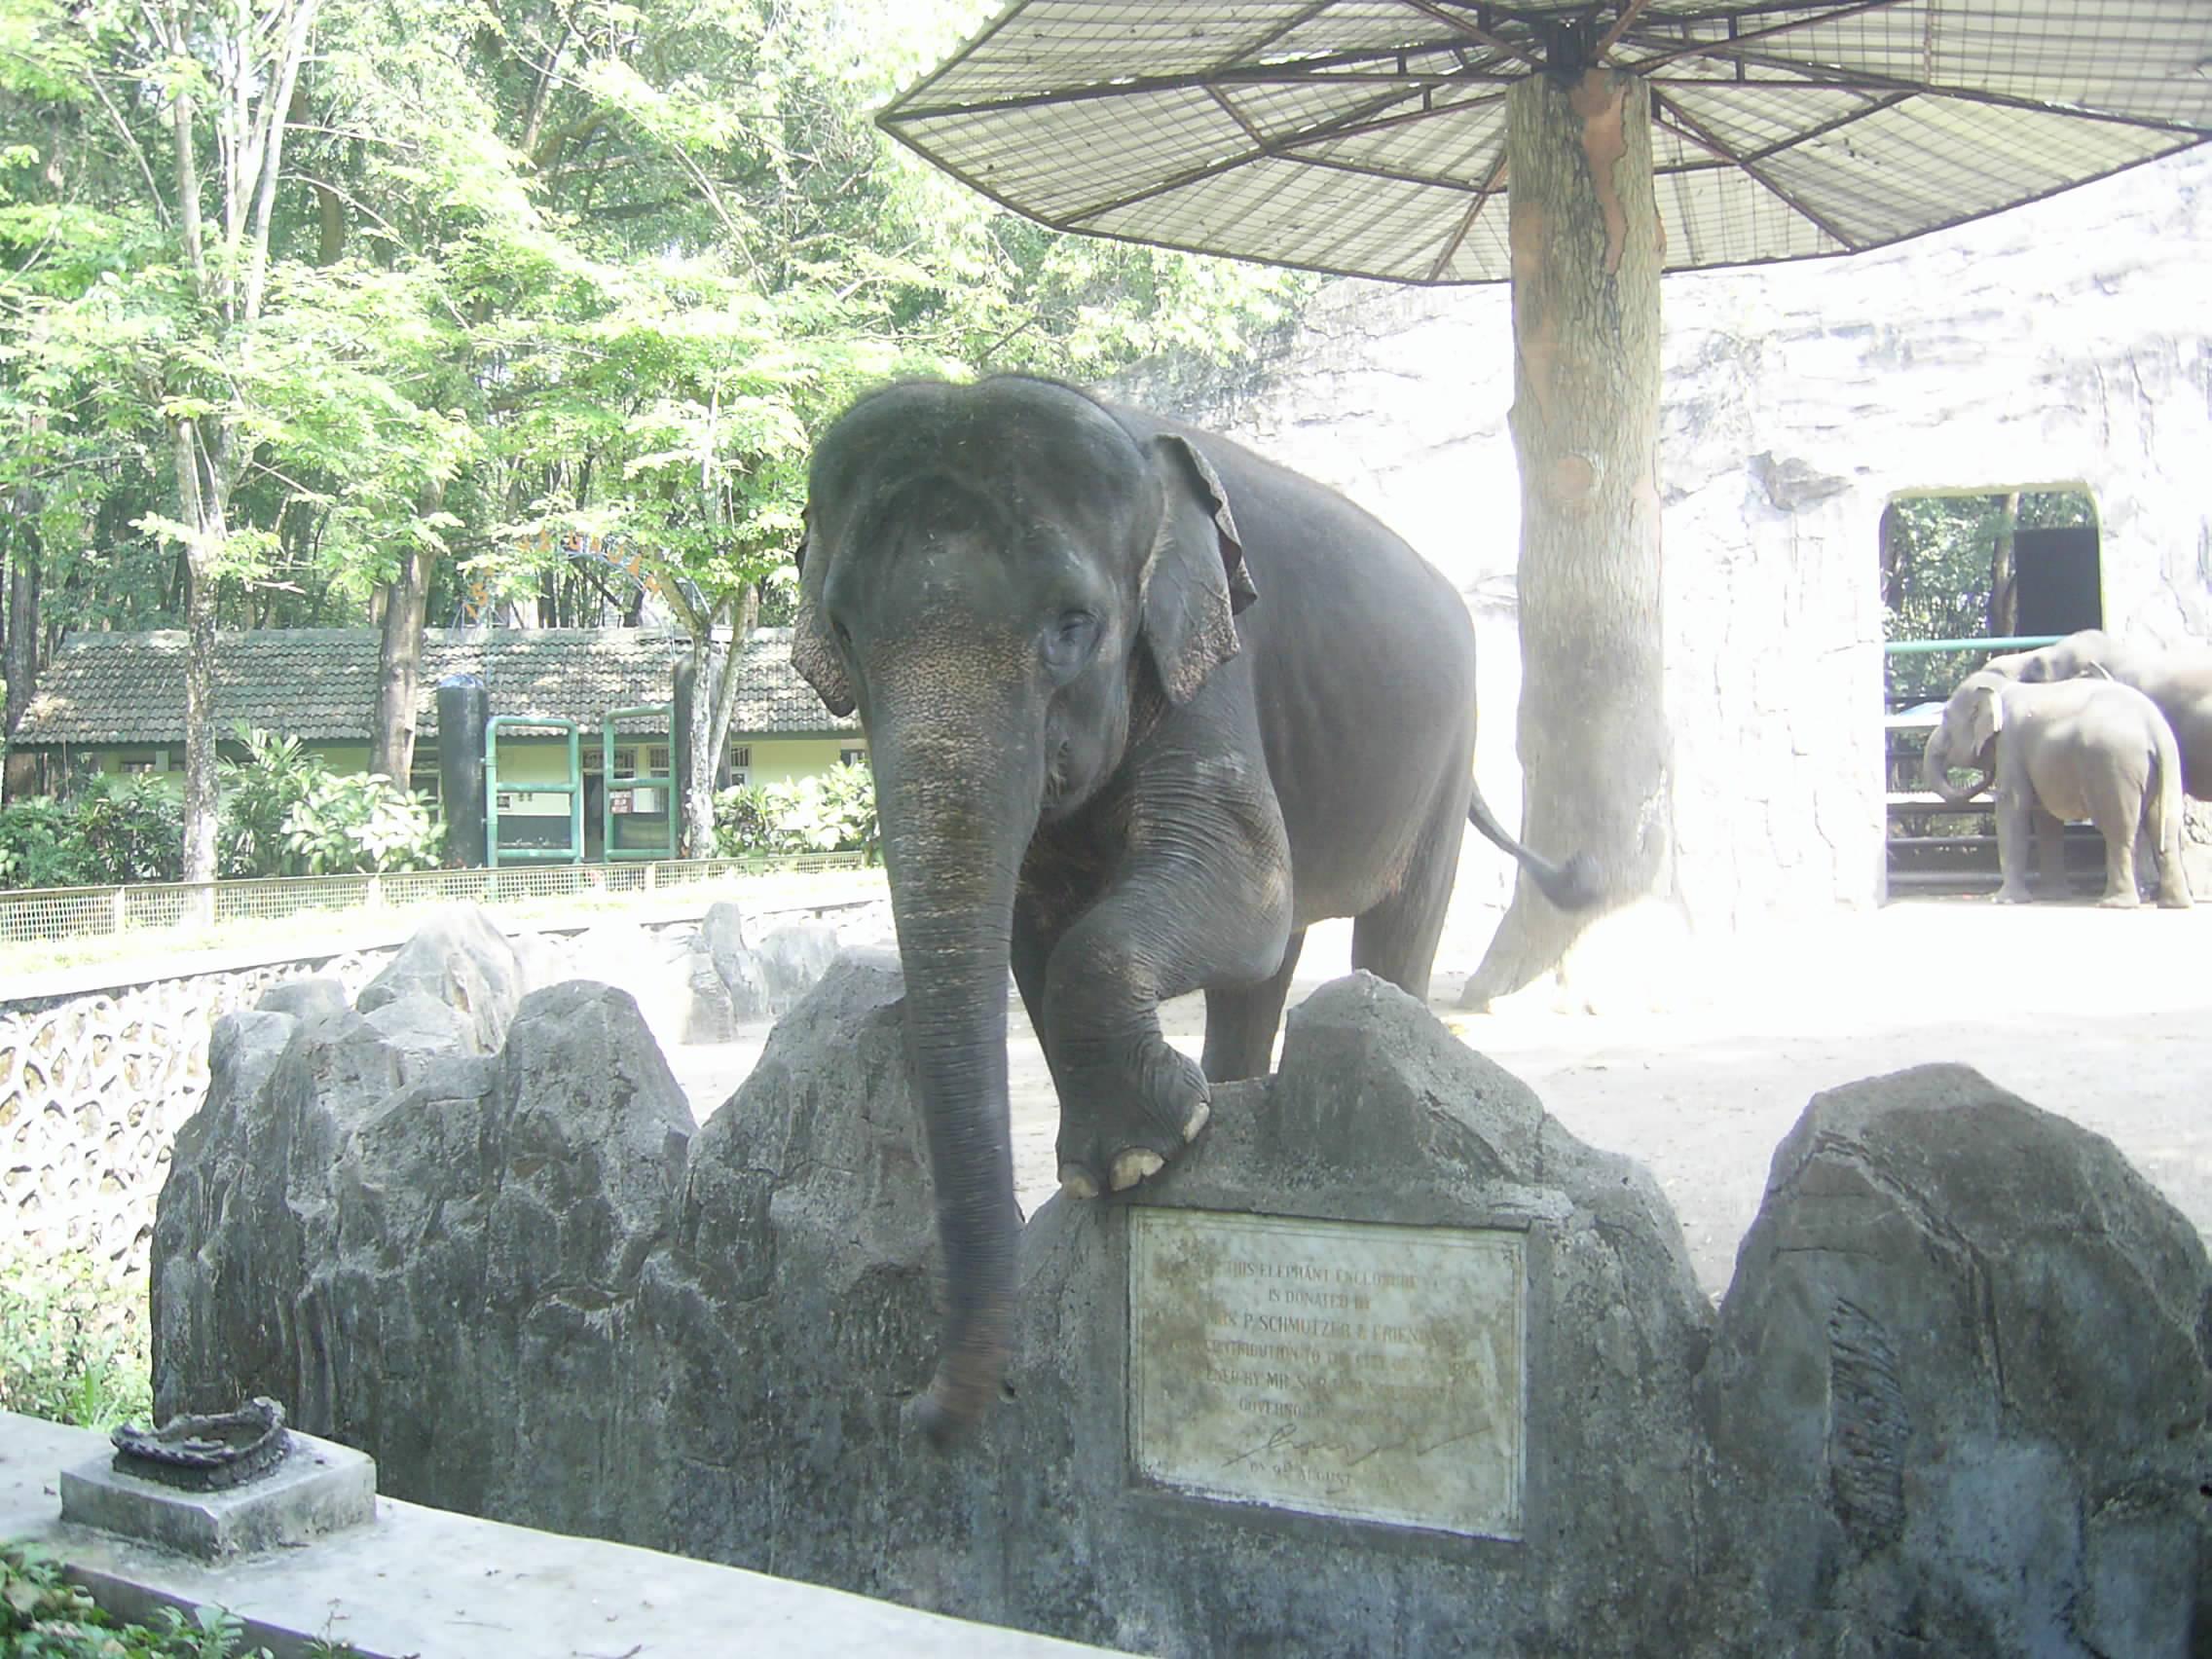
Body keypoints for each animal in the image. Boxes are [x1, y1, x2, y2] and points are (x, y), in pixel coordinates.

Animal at [787, 376, 1601, 1442]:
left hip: (1447, 751)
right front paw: (1118, 1164)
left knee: (1388, 932)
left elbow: (1242, 872)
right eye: (842, 632)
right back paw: (1242, 1100)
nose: (914, 1409)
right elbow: (1040, 918)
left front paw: (1136, 1158)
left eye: (1074, 624)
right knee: (1270, 965)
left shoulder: (1212, 651)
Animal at [1920, 668, 2194, 915]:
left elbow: (2013, 805)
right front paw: (2054, 896)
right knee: (2166, 828)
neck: (2004, 686)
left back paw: (2115, 904)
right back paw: (2175, 905)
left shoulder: (2010, 744)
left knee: (2119, 831)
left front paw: (2004, 901)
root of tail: (2155, 729)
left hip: (2113, 766)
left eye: (1946, 718)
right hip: (2169, 766)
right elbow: (2045, 818)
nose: (1987, 773)